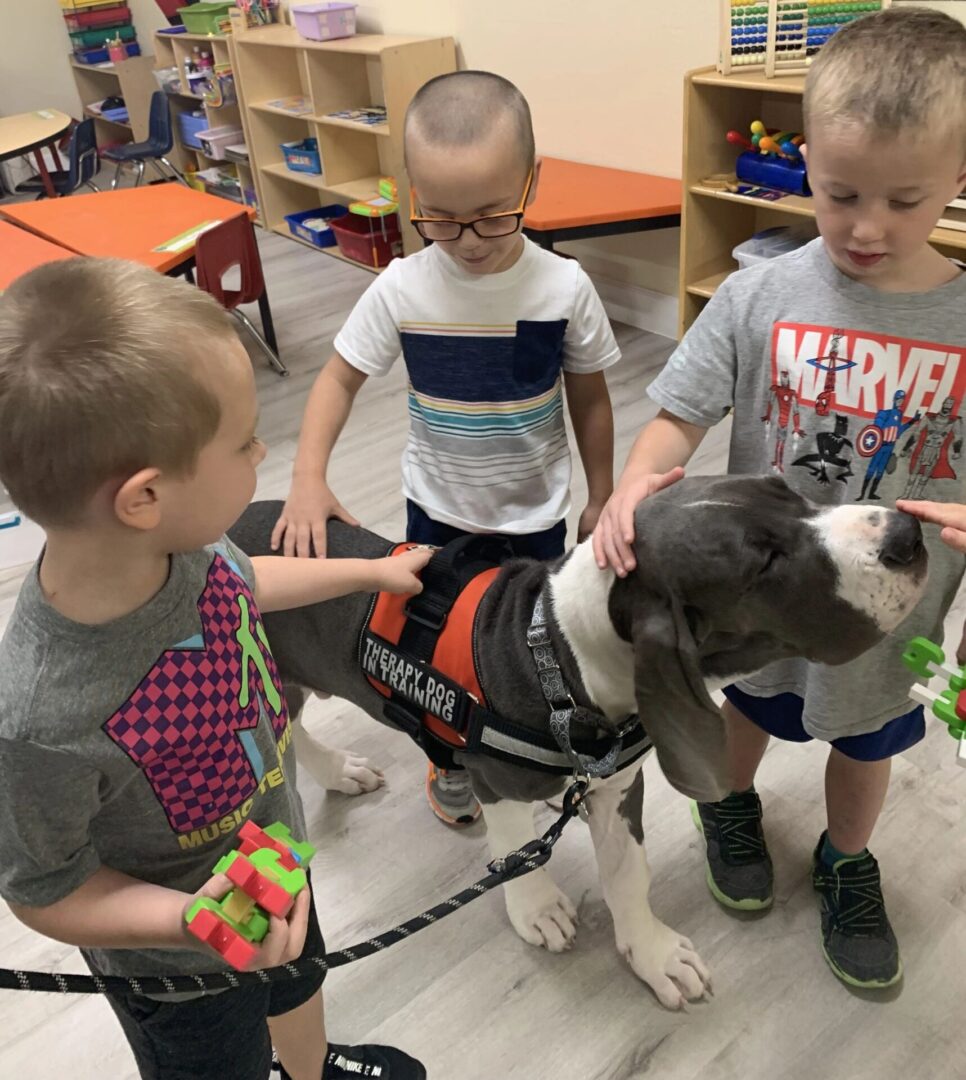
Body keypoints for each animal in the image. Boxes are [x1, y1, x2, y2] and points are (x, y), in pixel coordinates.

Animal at [229, 477, 929, 1006]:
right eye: (765, 563)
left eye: (788, 489)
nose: (906, 535)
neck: (561, 652)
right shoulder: (497, 781)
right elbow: (516, 851)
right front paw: (536, 908)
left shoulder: (618, 785)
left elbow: (628, 874)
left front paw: (651, 952)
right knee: (285, 732)